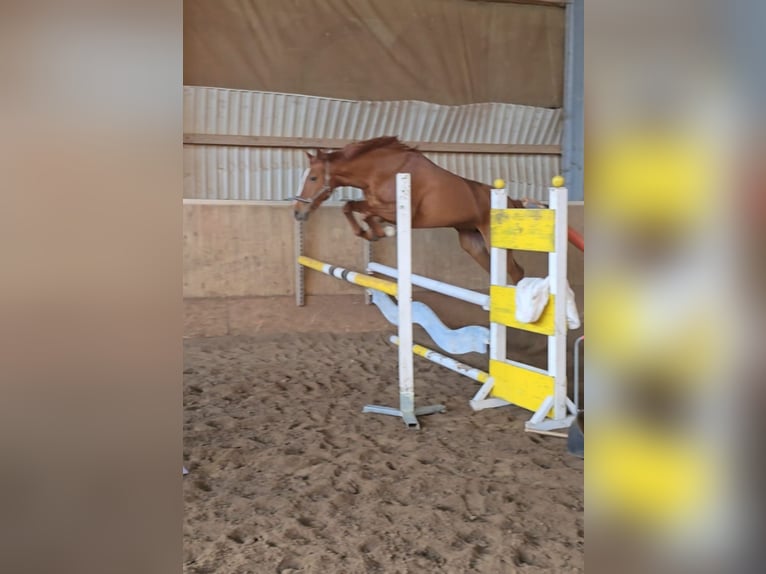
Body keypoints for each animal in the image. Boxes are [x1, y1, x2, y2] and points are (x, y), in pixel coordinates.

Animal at [293, 136, 526, 284]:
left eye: (313, 178)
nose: (297, 211)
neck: (383, 171)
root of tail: (511, 201)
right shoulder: (374, 203)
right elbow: (350, 207)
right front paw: (368, 233)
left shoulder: (400, 212)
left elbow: (367, 214)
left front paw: (383, 232)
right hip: (472, 242)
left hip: (494, 240)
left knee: (516, 272)